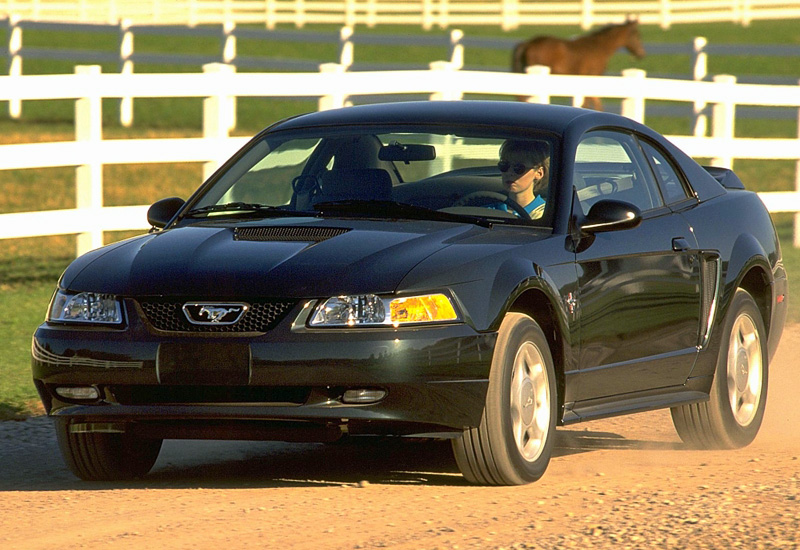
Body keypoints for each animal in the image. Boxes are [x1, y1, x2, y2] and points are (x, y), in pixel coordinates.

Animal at [512, 18, 644, 111]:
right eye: (636, 34)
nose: (641, 54)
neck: (598, 47)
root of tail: (527, 43)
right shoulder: (592, 76)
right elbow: (591, 104)